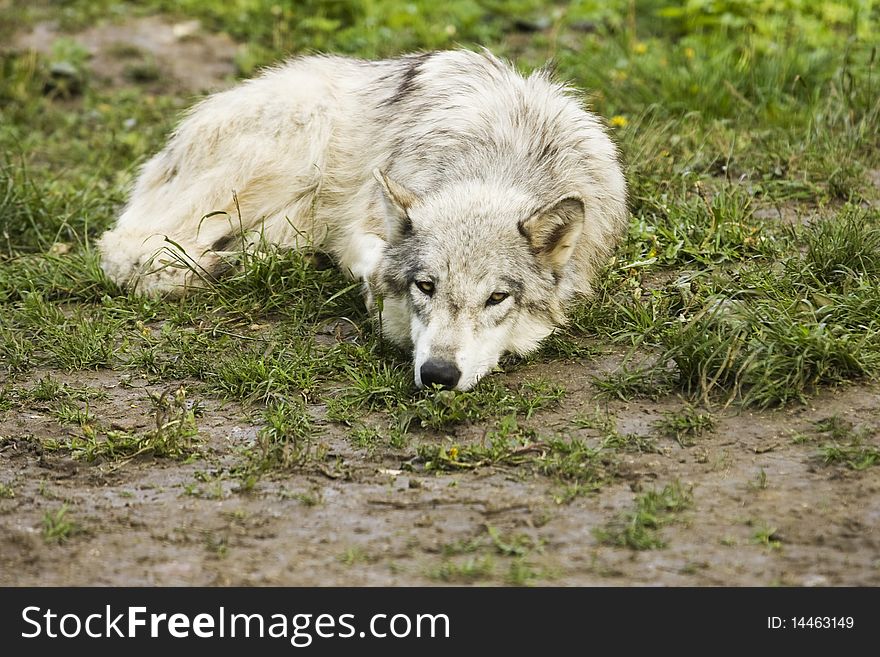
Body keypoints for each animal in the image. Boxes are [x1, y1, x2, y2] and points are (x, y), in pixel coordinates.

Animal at [99, 50, 628, 390]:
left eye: (496, 298)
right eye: (425, 287)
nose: (438, 375)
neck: (497, 162)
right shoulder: (362, 222)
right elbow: (370, 258)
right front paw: (372, 285)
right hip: (296, 147)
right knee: (128, 246)